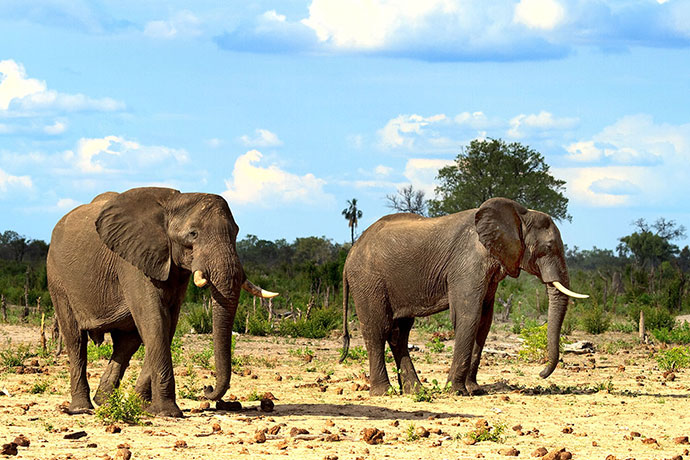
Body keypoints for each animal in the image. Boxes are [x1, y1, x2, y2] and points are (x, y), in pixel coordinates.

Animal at [45, 187, 278, 416]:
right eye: (193, 234)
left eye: (236, 232)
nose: (207, 387)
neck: (173, 202)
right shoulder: (132, 261)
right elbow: (154, 320)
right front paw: (168, 412)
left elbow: (166, 325)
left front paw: (144, 406)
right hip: (57, 278)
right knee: (76, 340)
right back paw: (82, 408)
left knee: (127, 343)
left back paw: (106, 402)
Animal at [338, 197, 584, 396]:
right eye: (548, 248)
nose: (541, 373)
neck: (520, 214)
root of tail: (350, 253)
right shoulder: (467, 263)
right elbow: (468, 316)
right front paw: (457, 391)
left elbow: (484, 322)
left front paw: (475, 390)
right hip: (368, 281)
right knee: (377, 330)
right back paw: (384, 392)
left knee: (400, 333)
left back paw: (415, 391)